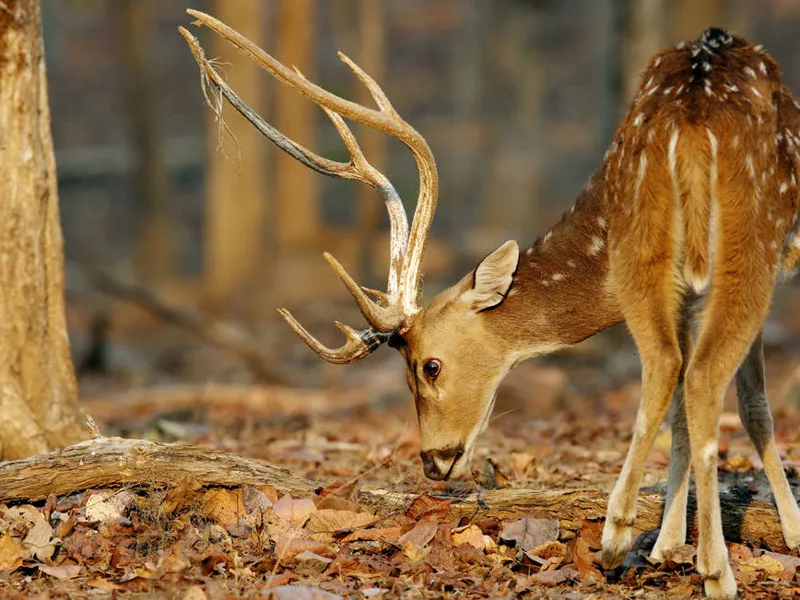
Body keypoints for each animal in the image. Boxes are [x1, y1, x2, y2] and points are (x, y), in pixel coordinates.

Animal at [181, 14, 800, 598]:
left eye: (429, 366)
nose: (433, 461)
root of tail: (691, 120)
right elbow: (729, 407)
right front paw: (730, 536)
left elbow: (739, 405)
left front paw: (716, 537)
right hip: (730, 246)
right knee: (687, 374)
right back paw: (668, 555)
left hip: (699, 245)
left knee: (680, 372)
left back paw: (648, 546)